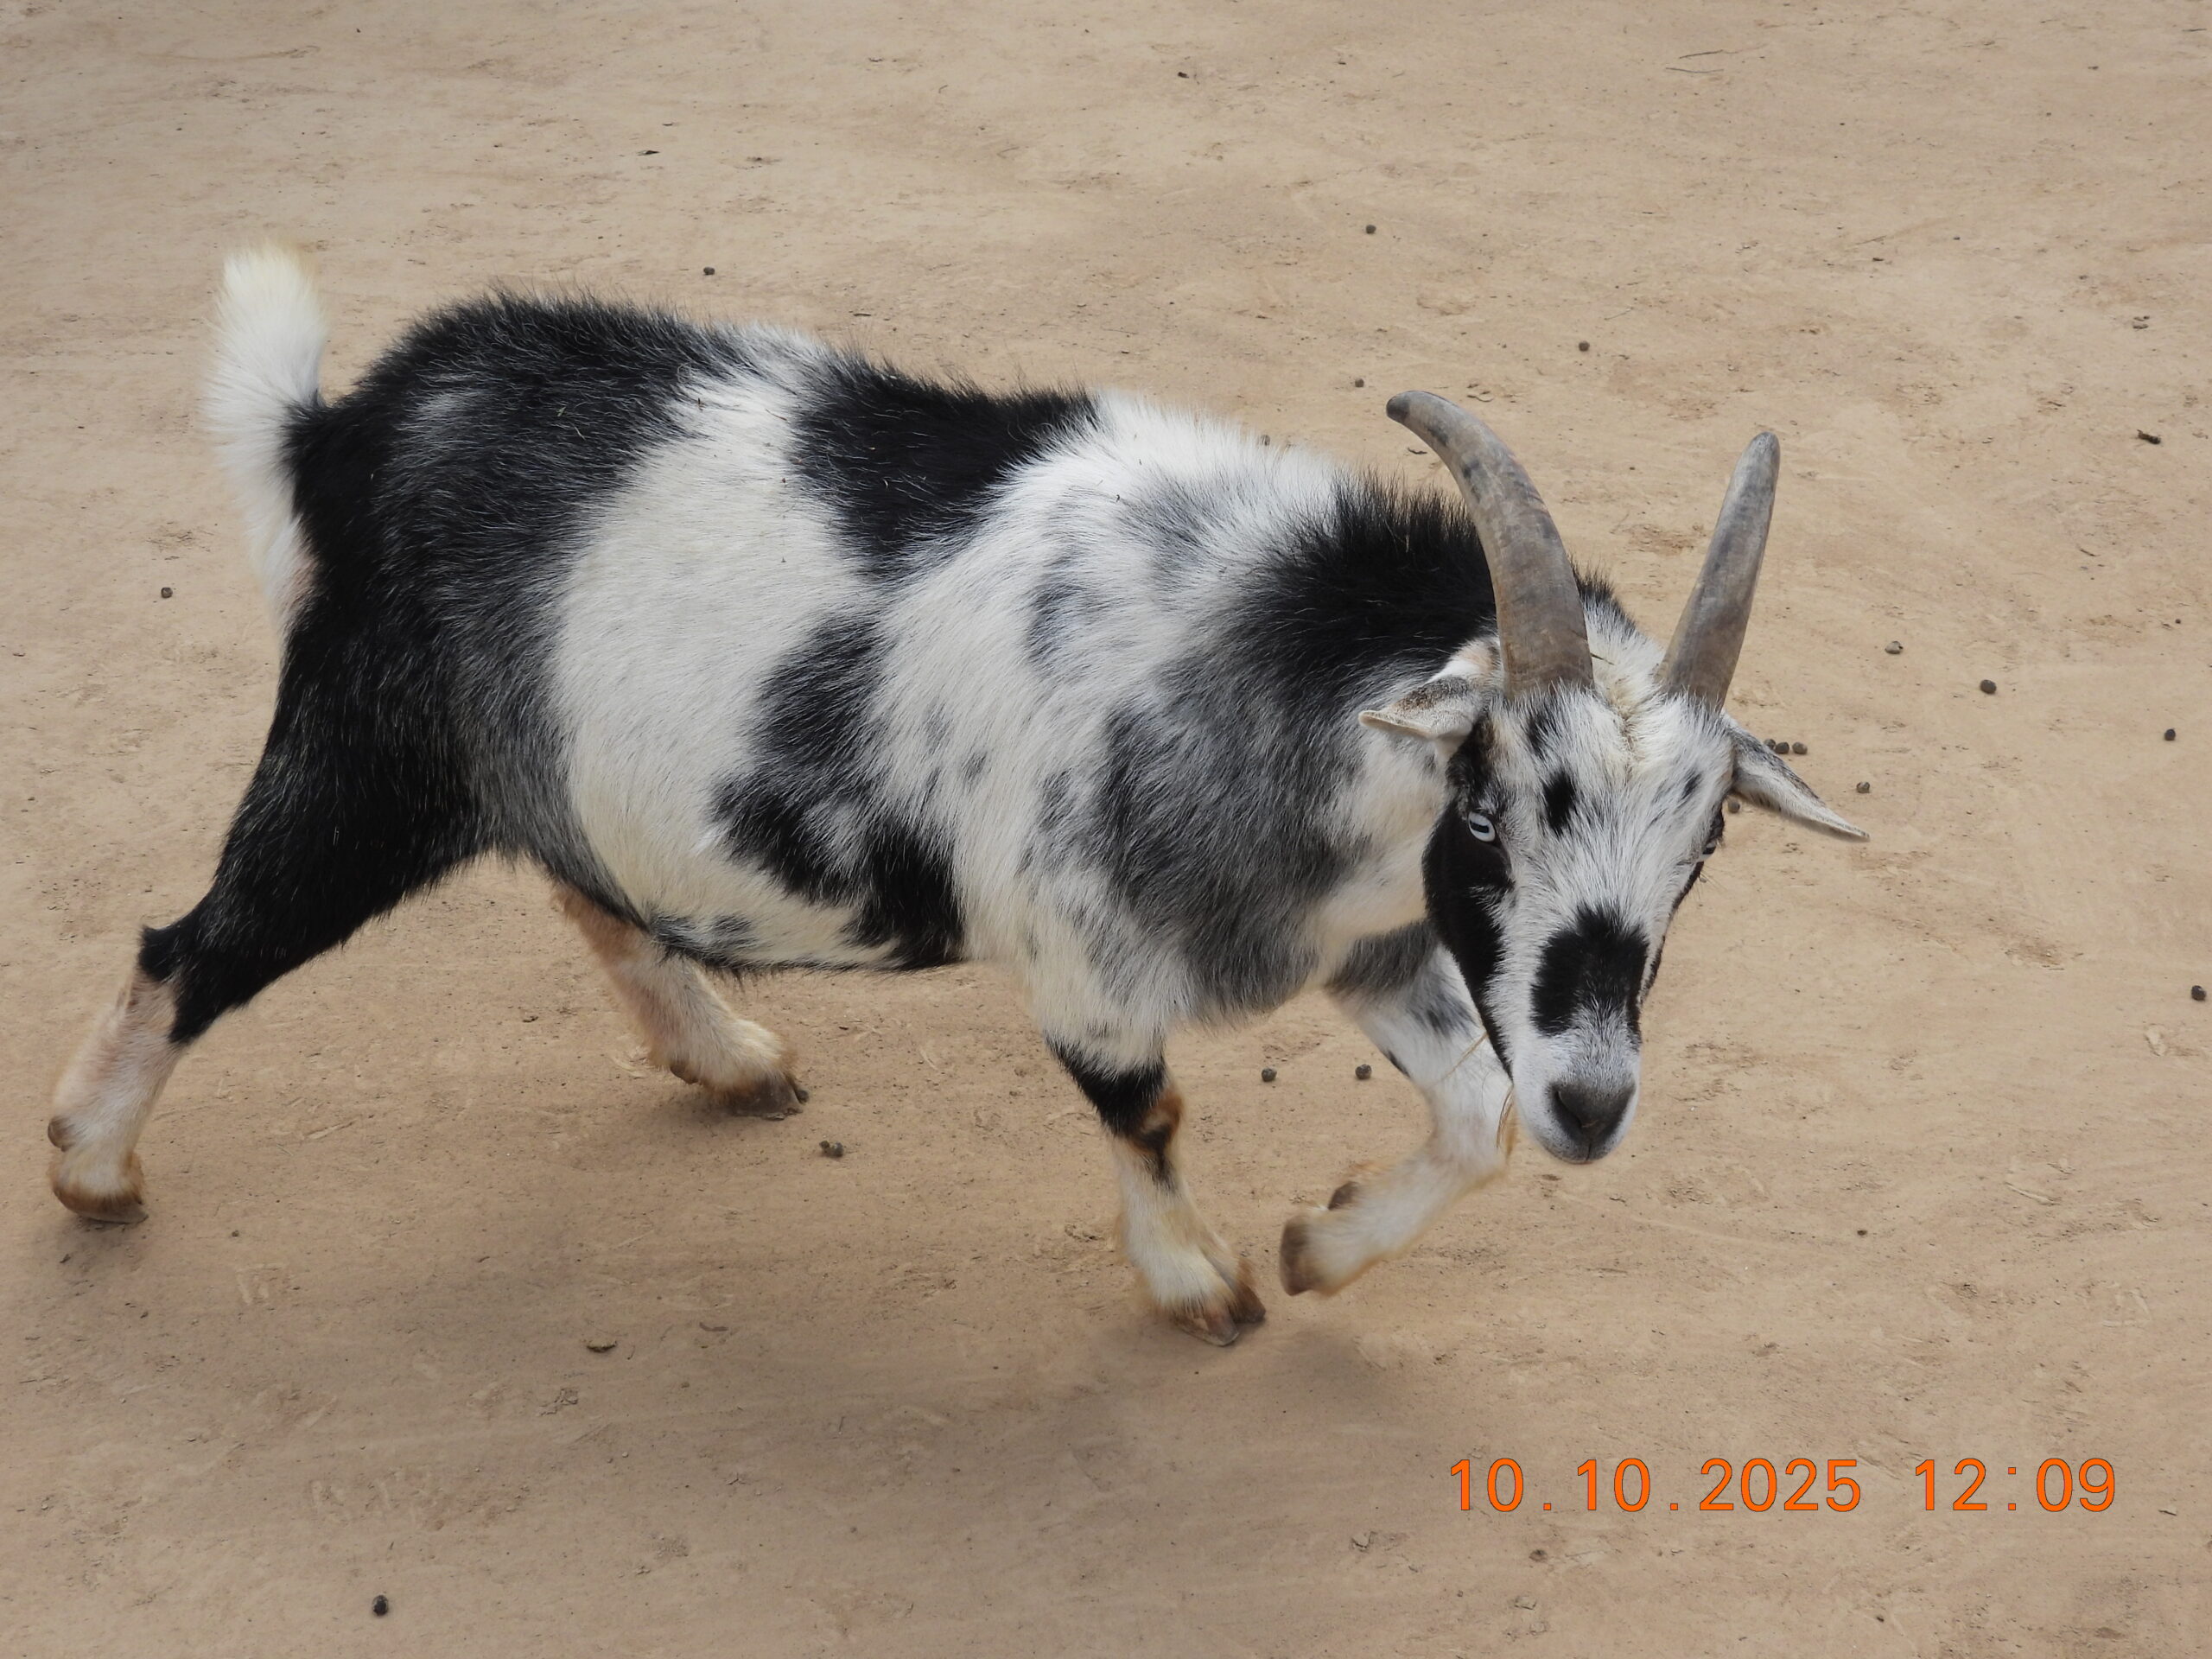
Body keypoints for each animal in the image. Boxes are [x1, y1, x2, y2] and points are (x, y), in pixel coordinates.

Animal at [47, 247, 1863, 1344]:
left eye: (1700, 851)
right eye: (1490, 809)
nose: (1600, 1105)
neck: (1262, 645)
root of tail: (339, 432)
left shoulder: (1371, 945)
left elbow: (1477, 1119)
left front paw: (1320, 1246)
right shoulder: (1088, 962)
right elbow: (1151, 1115)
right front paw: (1204, 1285)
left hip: (544, 761)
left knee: (582, 879)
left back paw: (723, 1052)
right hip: (366, 758)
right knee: (190, 948)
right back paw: (89, 1167)